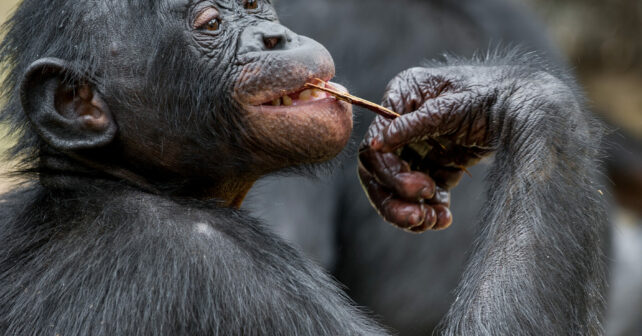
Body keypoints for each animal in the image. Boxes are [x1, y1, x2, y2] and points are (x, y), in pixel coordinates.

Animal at [0, 0, 604, 336]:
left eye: (252, 2)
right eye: (211, 23)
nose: (276, 37)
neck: (121, 180)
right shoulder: (222, 268)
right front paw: (502, 94)